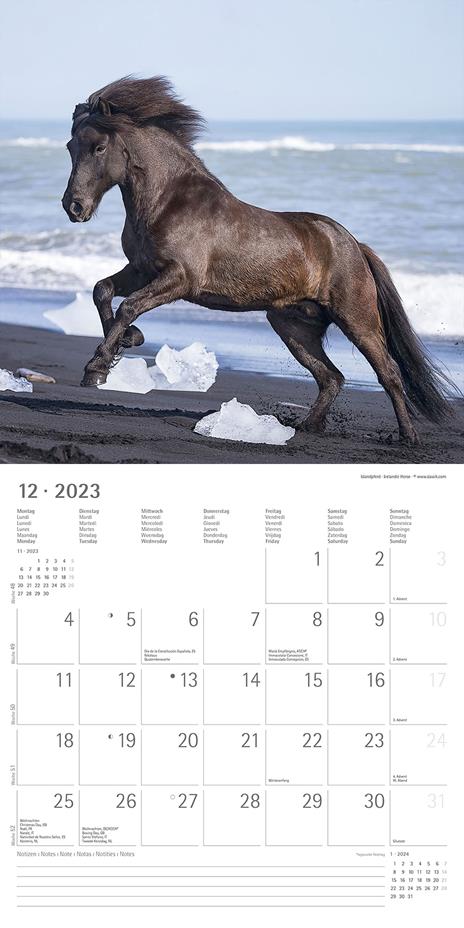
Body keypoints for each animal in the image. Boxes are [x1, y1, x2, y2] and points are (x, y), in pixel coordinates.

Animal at [62, 75, 454, 444]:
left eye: (99, 147)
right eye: (70, 146)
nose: (73, 207)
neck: (168, 201)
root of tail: (355, 245)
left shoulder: (180, 278)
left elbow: (129, 305)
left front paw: (98, 366)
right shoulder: (141, 269)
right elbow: (103, 290)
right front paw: (128, 342)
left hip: (357, 319)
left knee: (387, 372)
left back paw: (407, 437)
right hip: (293, 326)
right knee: (331, 376)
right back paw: (306, 427)